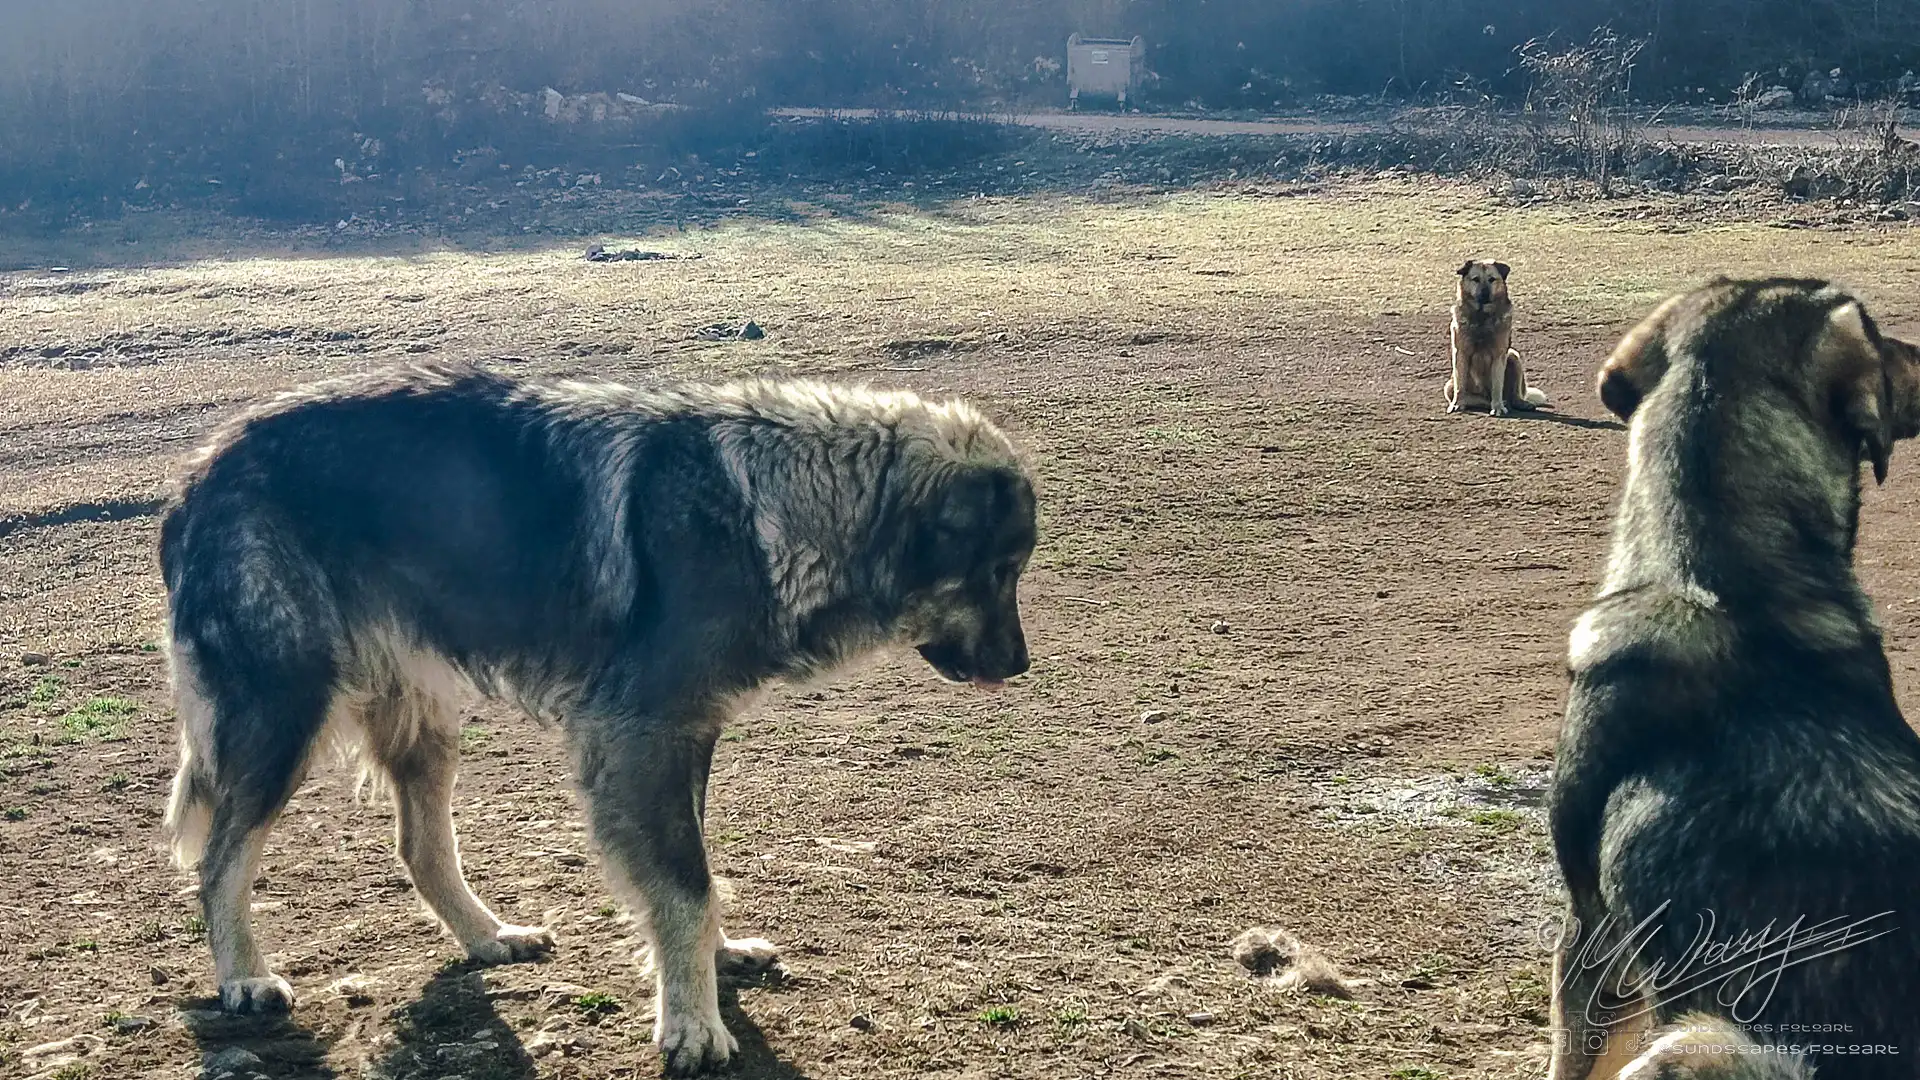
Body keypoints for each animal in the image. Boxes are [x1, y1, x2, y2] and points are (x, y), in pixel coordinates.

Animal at [159, 365, 1044, 1068]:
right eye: (998, 571)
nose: (1022, 665)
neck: (778, 508)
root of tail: (200, 470)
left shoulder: (688, 736)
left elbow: (698, 872)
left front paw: (715, 962)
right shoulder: (642, 736)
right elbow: (685, 883)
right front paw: (692, 1025)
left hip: (422, 721)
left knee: (420, 846)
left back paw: (487, 936)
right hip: (284, 710)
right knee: (221, 859)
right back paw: (243, 977)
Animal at [1443, 255, 1551, 417]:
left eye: (1492, 279)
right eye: (1475, 279)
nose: (1484, 294)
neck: (1482, 317)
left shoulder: (1499, 354)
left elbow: (1497, 385)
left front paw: (1498, 407)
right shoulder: (1460, 353)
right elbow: (1460, 386)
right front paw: (1457, 404)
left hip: (1513, 356)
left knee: (1514, 395)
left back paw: (1519, 403)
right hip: (1449, 386)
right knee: (1476, 398)